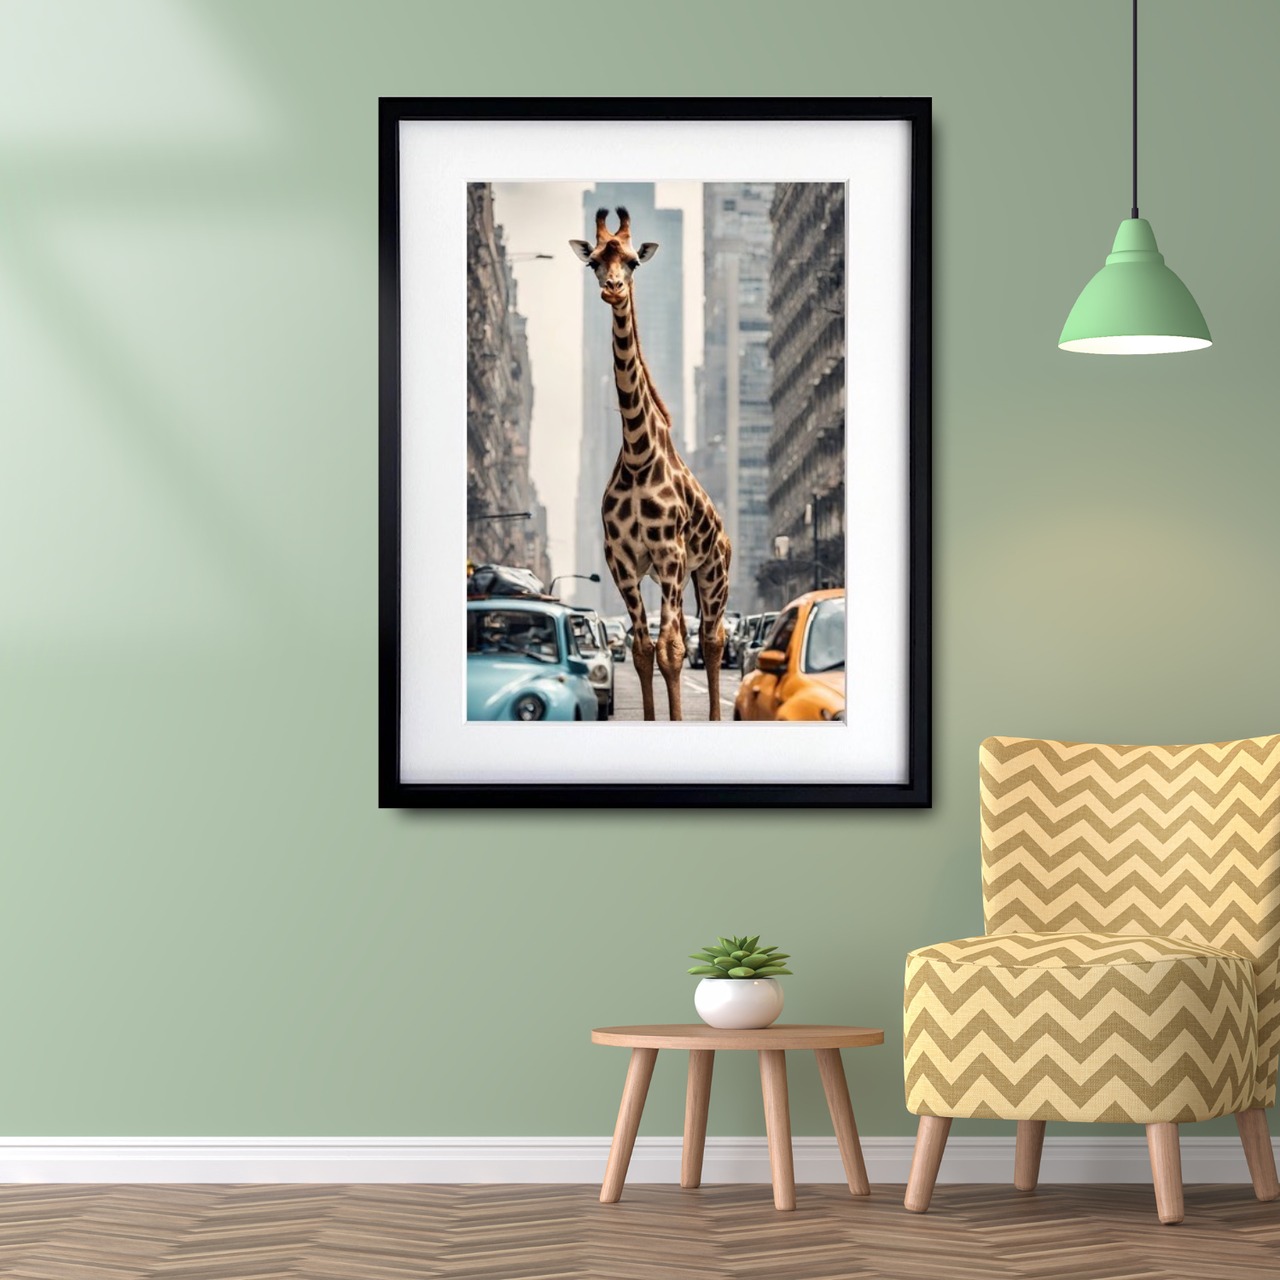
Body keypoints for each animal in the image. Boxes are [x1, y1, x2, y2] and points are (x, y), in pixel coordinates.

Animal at [570, 207, 732, 722]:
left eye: (633, 262)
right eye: (595, 262)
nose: (613, 288)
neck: (639, 457)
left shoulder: (670, 554)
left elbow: (673, 651)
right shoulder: (623, 562)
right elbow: (644, 650)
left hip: (712, 572)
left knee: (714, 639)